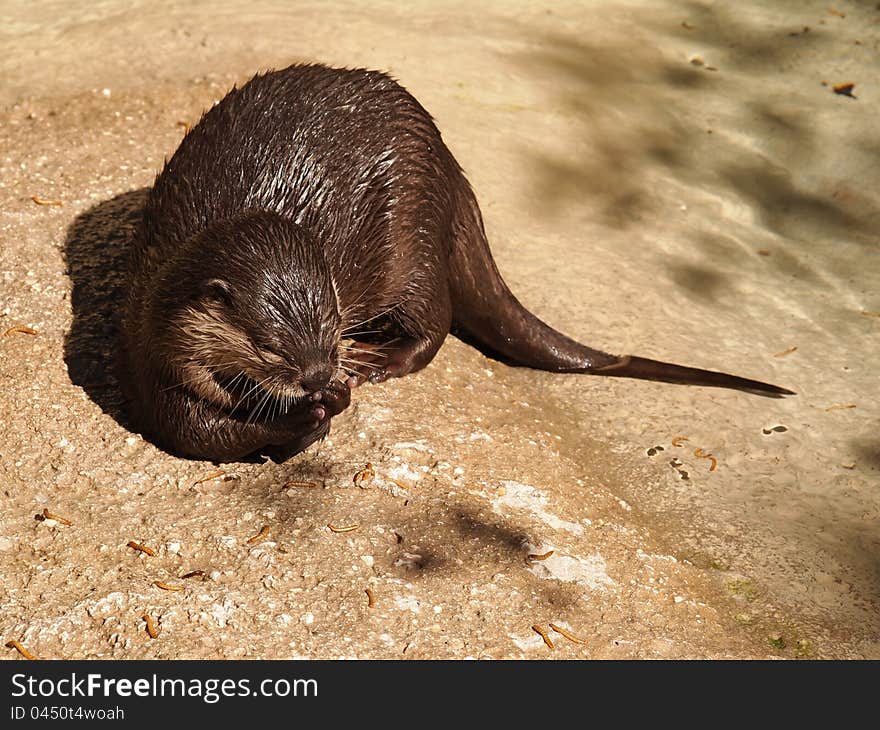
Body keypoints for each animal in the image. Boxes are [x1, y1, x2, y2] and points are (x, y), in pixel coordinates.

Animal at [120, 64, 796, 460]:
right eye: (271, 347)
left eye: (333, 323)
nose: (319, 375)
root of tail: (447, 162)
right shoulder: (152, 347)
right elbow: (194, 430)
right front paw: (303, 416)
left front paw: (339, 391)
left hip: (410, 235)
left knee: (437, 317)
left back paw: (384, 361)